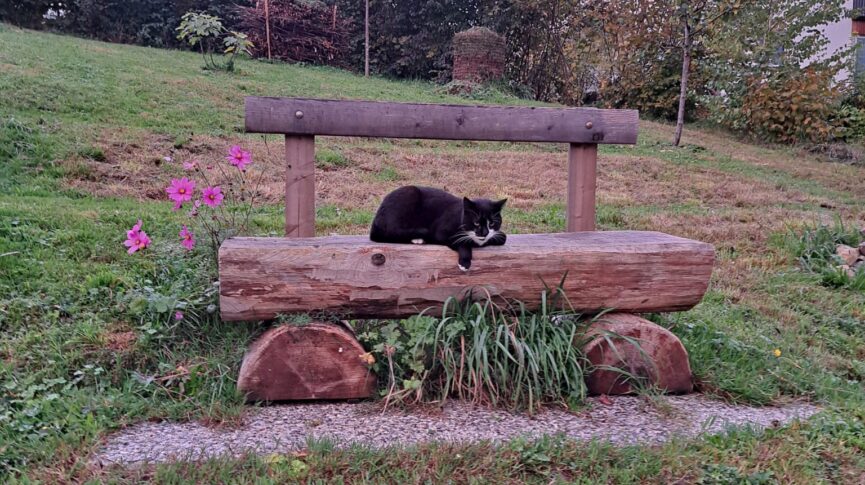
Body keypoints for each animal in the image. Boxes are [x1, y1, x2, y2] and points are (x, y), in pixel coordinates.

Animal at [370, 185, 506, 270]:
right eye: (476, 223)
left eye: (492, 223)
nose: (484, 233)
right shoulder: (441, 231)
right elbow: (460, 241)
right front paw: (465, 262)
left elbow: (503, 237)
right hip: (409, 193)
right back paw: (418, 238)